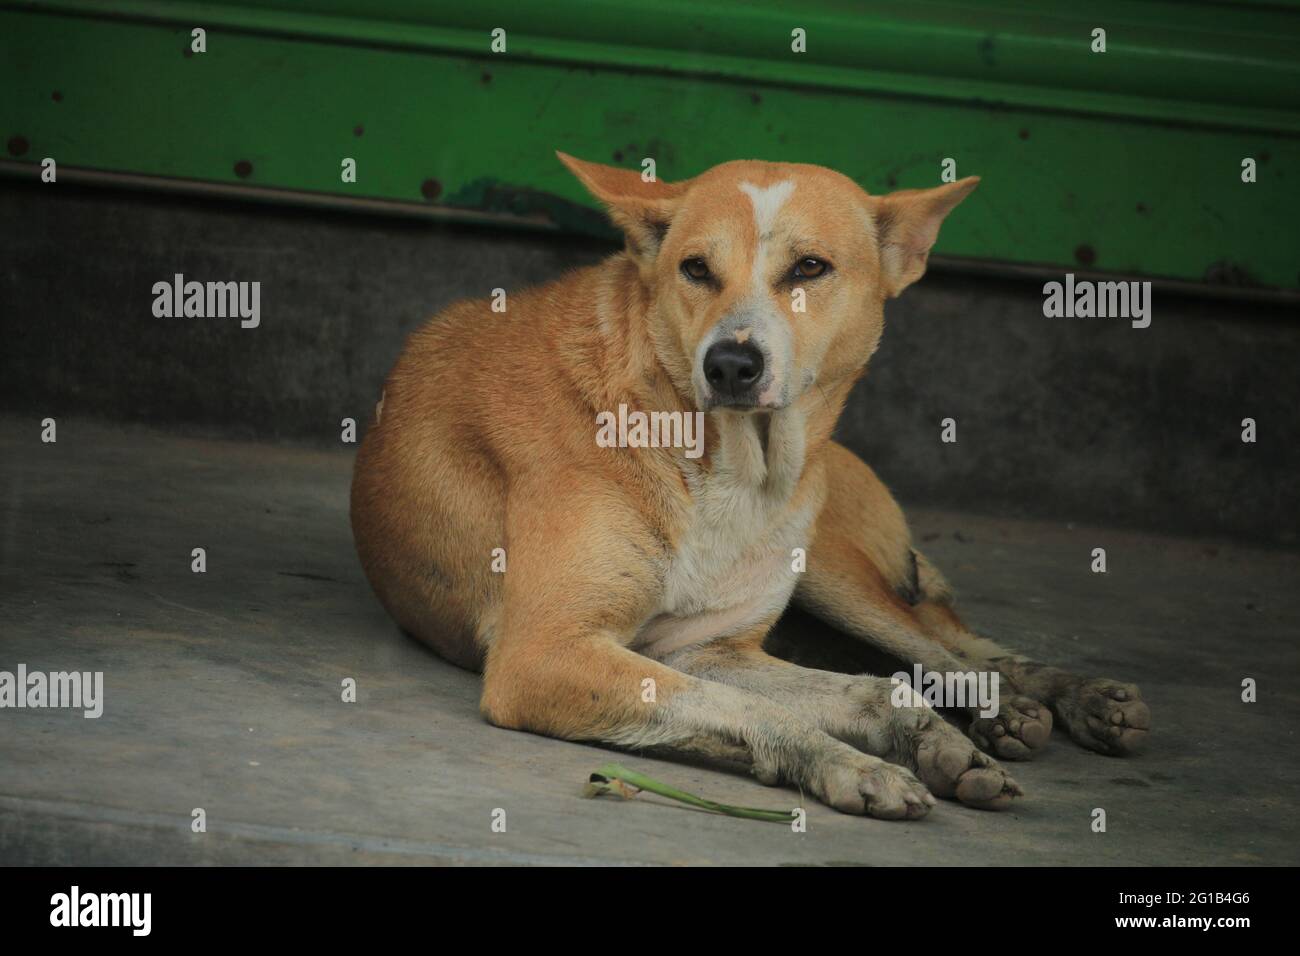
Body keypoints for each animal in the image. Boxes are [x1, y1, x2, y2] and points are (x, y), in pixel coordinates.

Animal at [348, 153, 1149, 816]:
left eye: (810, 268)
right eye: (696, 269)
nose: (731, 364)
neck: (719, 468)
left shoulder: (703, 648)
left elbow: (864, 690)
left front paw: (928, 735)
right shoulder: (558, 653)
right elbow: (771, 709)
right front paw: (853, 761)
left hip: (831, 568)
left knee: (948, 647)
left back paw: (1038, 700)